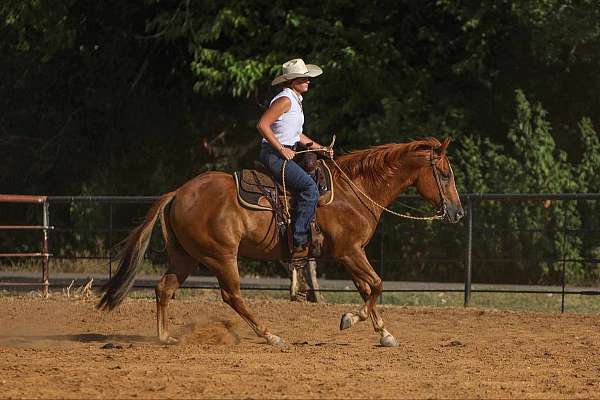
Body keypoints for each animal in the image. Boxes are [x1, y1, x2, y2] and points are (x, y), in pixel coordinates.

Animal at [98, 137, 464, 346]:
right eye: (445, 174)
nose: (457, 213)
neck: (354, 192)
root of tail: (179, 192)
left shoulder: (350, 254)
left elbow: (368, 288)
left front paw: (383, 332)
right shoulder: (349, 252)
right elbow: (376, 284)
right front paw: (352, 320)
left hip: (186, 256)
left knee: (164, 288)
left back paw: (165, 337)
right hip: (221, 256)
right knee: (232, 296)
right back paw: (270, 335)